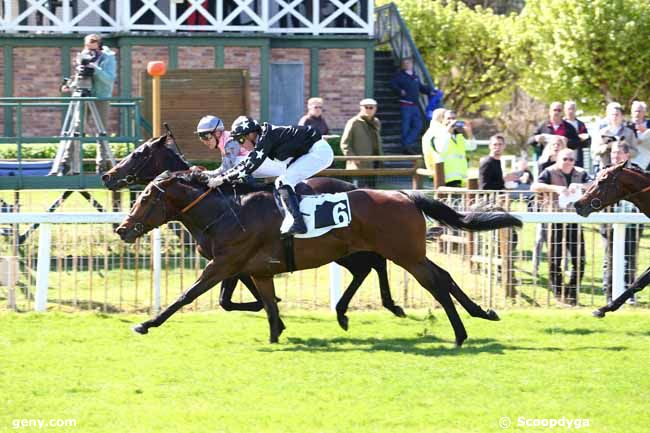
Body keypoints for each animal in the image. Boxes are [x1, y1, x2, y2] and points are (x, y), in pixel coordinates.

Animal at [100, 135, 404, 328]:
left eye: (138, 154)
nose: (107, 175)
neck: (220, 205)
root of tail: (354, 187)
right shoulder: (233, 262)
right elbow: (230, 297)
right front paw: (271, 307)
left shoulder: (229, 260)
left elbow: (225, 297)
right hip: (342, 251)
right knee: (368, 267)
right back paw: (356, 309)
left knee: (376, 263)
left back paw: (389, 305)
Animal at [117, 170, 520, 346]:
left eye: (145, 198)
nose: (123, 229)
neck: (227, 212)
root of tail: (407, 195)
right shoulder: (257, 270)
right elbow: (264, 303)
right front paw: (276, 332)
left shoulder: (223, 265)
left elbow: (187, 296)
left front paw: (146, 324)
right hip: (395, 252)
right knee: (440, 276)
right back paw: (481, 313)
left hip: (403, 254)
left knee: (434, 281)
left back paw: (460, 334)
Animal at [572, 160, 648, 316]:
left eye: (601, 181)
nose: (578, 205)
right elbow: (639, 281)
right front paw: (605, 307)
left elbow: (640, 280)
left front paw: (605, 307)